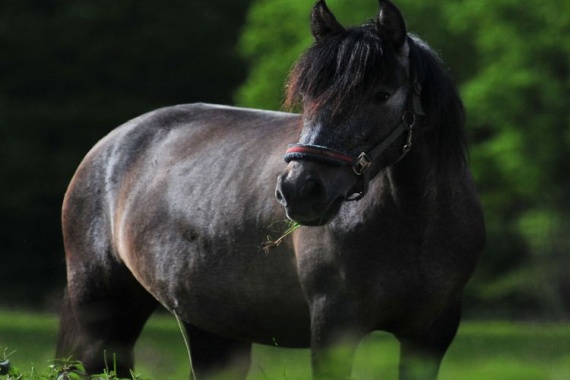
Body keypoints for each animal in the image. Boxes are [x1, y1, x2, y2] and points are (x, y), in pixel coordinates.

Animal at [56, 1, 484, 378]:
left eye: (382, 93)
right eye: (308, 95)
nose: (300, 190)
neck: (415, 225)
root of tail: (108, 146)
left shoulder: (431, 335)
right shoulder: (333, 328)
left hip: (209, 328)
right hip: (101, 309)